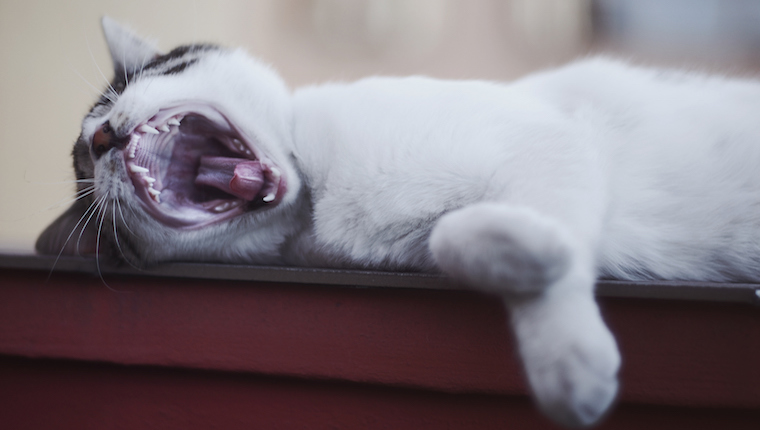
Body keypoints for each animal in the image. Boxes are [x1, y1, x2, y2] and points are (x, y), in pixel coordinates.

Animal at [38, 16, 760, 426]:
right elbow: (456, 237)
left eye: (157, 74)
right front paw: (534, 258)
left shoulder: (551, 142)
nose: (102, 137)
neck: (316, 196)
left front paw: (569, 361)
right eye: (88, 158)